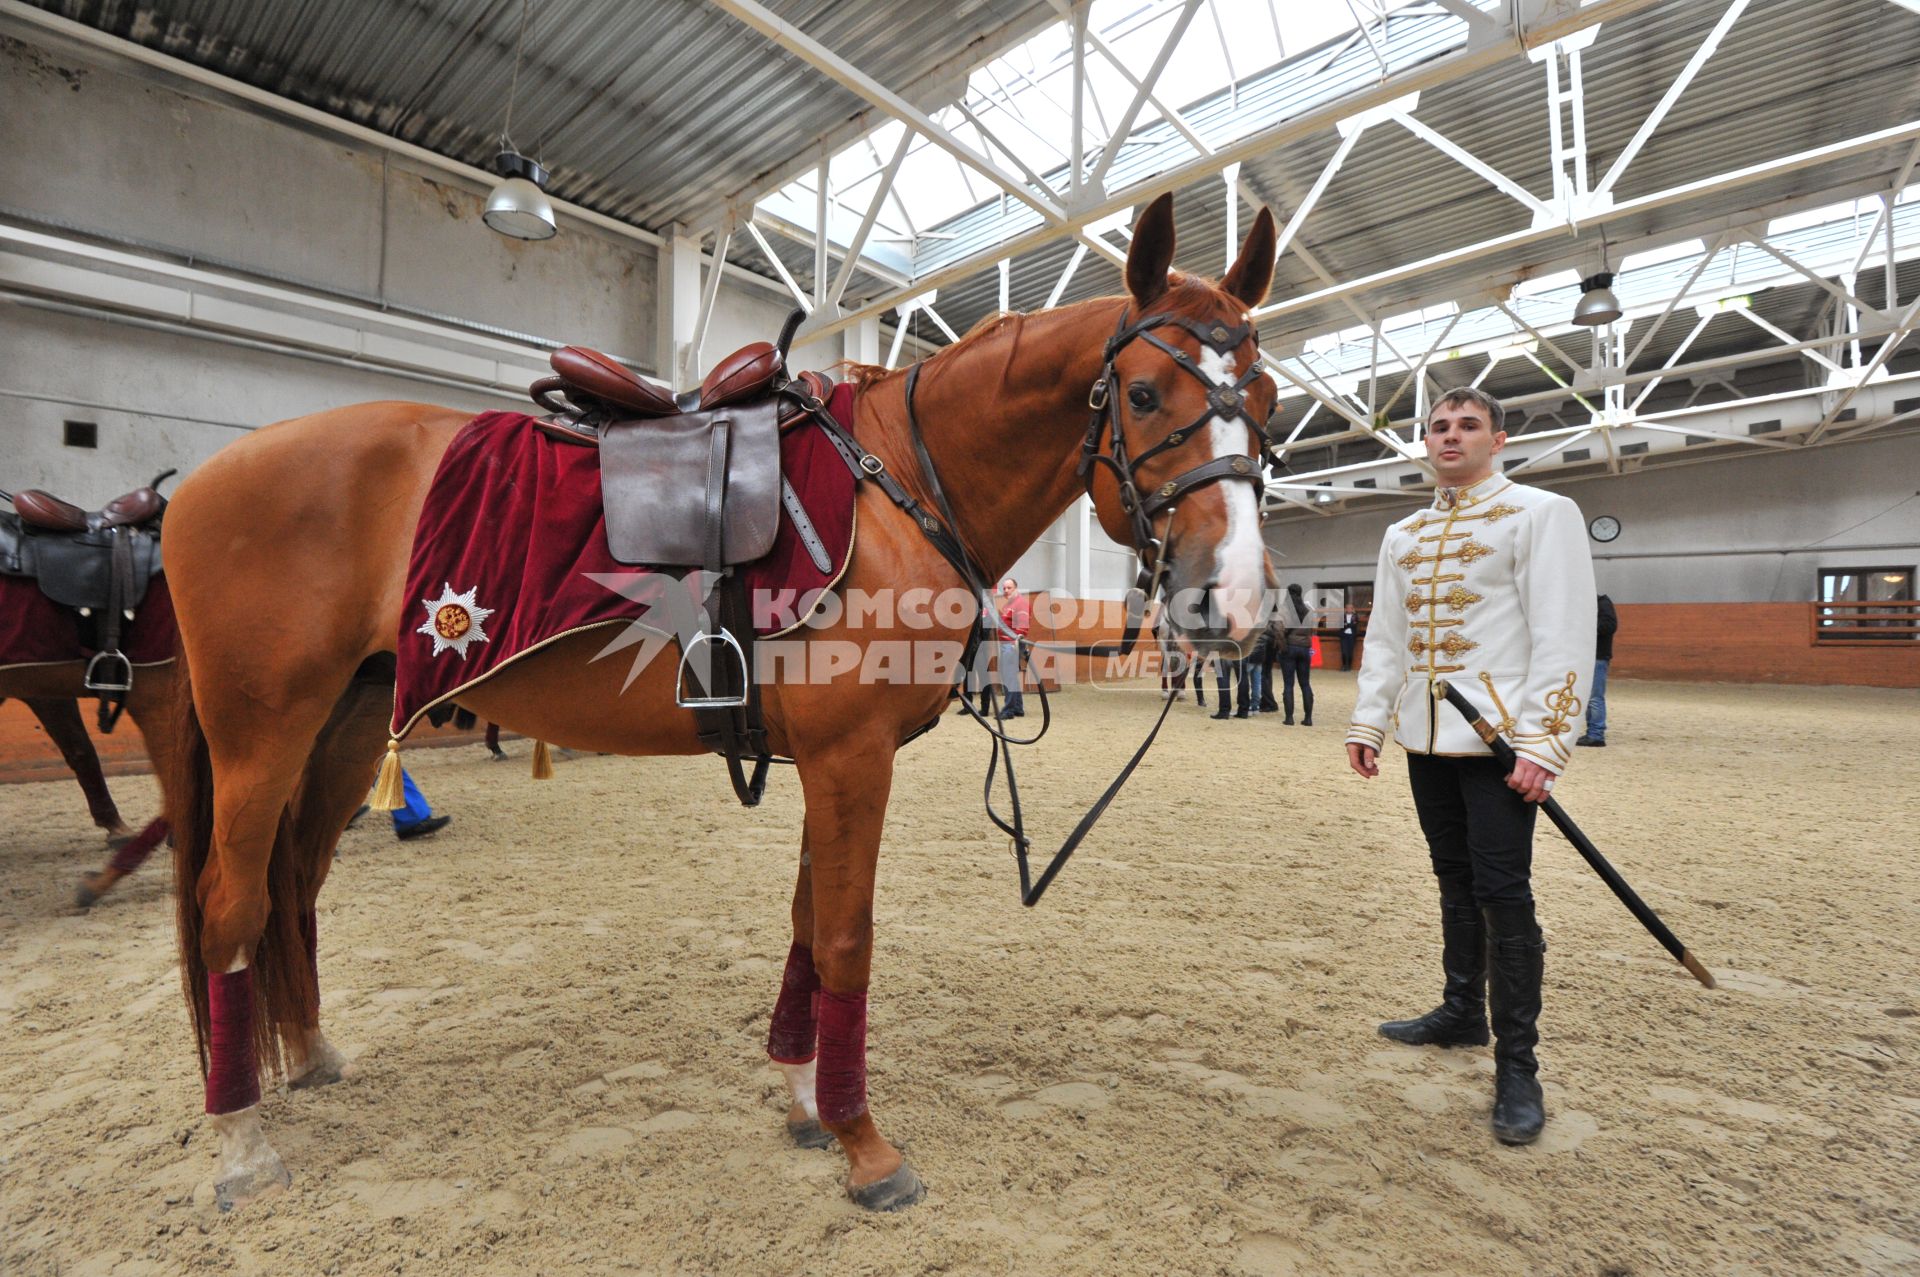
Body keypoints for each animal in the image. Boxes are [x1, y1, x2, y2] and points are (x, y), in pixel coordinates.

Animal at [161, 193, 1274, 1213]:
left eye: (1263, 394)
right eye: (1142, 391)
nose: (1232, 597)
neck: (896, 486)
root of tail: (201, 481)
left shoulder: (836, 756)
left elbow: (808, 924)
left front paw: (806, 1098)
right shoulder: (850, 756)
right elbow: (846, 938)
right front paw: (865, 1142)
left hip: (346, 724)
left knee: (295, 884)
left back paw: (308, 1051)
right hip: (264, 731)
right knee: (232, 904)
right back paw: (240, 1139)